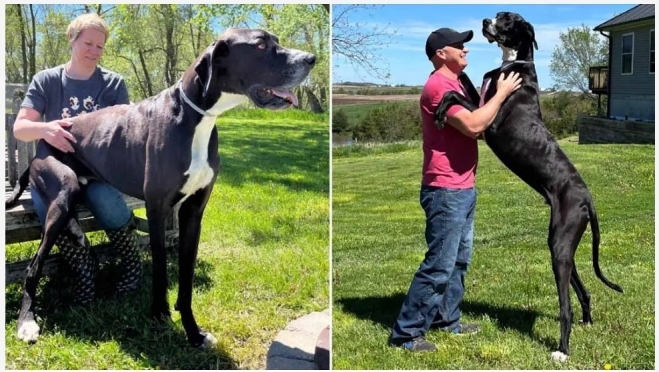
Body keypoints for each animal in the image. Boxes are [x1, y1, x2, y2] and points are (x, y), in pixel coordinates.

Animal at [4, 28, 314, 348]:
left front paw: (193, 332)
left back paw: (76, 235)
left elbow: (186, 277)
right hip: (62, 188)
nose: (311, 59)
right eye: (261, 45)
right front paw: (159, 314)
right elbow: (161, 269)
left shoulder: (193, 212)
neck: (196, 117)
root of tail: (40, 147)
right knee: (34, 265)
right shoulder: (157, 208)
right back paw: (27, 322)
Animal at [434, 12, 624, 364]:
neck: (514, 63)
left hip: (560, 246)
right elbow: (463, 86)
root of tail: (587, 197)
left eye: (508, 20)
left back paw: (562, 350)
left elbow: (455, 96)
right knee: (582, 289)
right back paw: (587, 321)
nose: (485, 20)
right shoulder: (482, 103)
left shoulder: (488, 124)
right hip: (563, 244)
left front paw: (440, 110)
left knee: (564, 306)